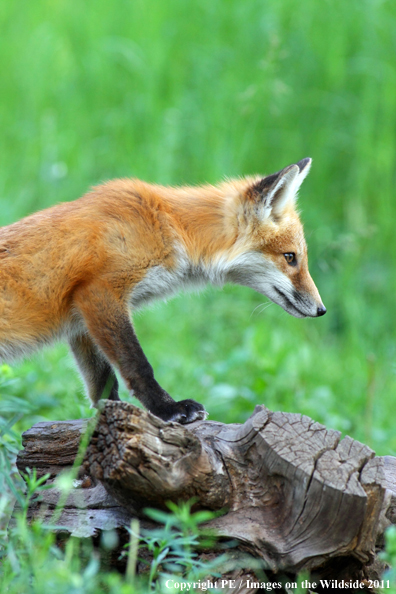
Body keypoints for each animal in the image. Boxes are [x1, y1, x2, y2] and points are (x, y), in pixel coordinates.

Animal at [0, 157, 324, 424]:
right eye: (290, 257)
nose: (321, 310)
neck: (169, 227)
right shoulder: (100, 292)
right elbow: (137, 365)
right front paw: (167, 408)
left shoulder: (81, 317)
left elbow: (102, 383)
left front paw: (108, 417)